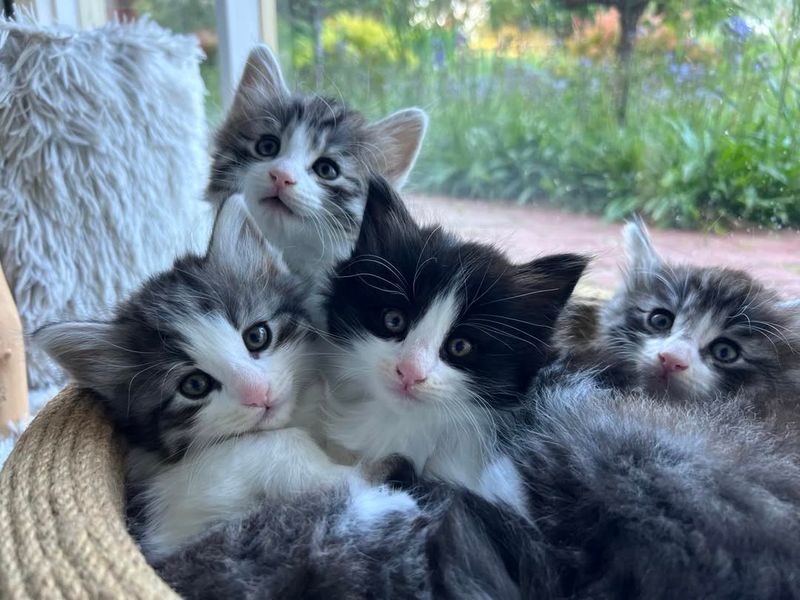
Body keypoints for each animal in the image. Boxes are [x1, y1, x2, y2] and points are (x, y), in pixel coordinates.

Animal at [35, 199, 394, 560]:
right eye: (194, 385)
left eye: (257, 336)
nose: (259, 393)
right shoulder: (165, 517)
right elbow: (270, 444)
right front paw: (354, 473)